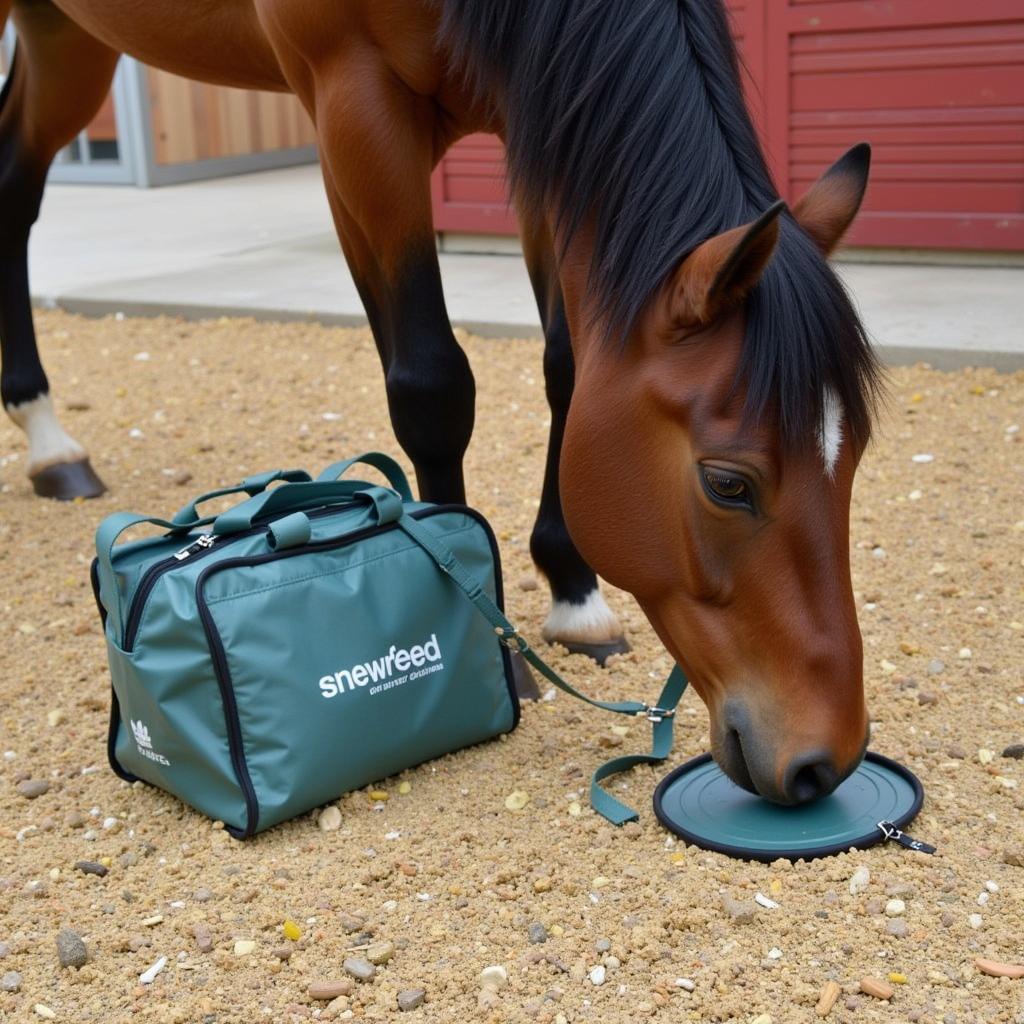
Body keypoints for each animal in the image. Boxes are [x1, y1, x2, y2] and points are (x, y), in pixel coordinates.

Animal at [0, 0, 880, 798]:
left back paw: (50, 443)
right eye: (728, 483)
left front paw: (574, 593)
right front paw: (489, 646)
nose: (823, 762)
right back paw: (45, 435)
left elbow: (567, 365)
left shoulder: (541, 116)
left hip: (63, 38)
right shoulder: (356, 110)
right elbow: (433, 385)